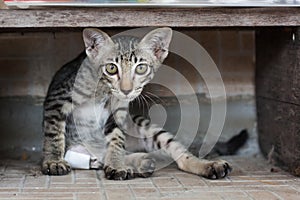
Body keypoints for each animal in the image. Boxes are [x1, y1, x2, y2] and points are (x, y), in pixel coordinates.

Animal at [42, 27, 233, 180]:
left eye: (141, 68)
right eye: (111, 68)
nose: (126, 90)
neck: (103, 90)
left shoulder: (117, 115)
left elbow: (117, 140)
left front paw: (116, 164)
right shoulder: (57, 99)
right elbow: (54, 133)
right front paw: (53, 161)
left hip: (145, 126)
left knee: (178, 154)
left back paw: (206, 165)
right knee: (96, 157)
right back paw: (140, 162)